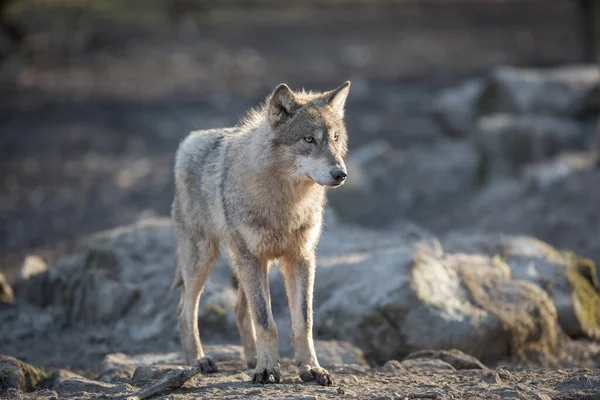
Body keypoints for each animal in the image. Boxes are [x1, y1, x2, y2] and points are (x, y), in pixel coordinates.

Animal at [171, 80, 352, 384]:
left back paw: (252, 359)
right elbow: (267, 323)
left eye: (336, 138)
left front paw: (310, 368)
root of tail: (189, 141)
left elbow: (303, 323)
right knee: (185, 310)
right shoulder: (252, 258)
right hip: (205, 261)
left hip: (250, 265)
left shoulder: (301, 258)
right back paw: (198, 360)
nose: (341, 174)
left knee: (240, 311)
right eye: (309, 140)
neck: (286, 204)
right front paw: (268, 371)